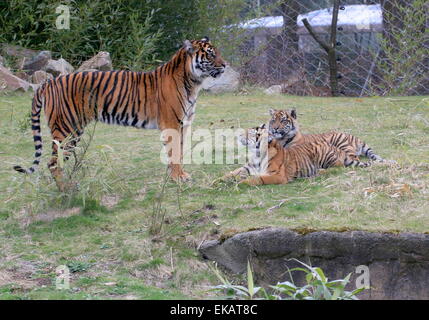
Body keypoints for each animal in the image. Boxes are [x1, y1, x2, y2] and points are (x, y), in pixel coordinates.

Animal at [14, 38, 224, 191]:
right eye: (210, 54)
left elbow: (179, 152)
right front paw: (177, 178)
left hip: (74, 130)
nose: (225, 65)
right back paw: (67, 189)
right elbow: (175, 153)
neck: (193, 82)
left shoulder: (184, 124)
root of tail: (49, 83)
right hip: (66, 128)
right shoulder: (172, 123)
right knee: (53, 163)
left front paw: (179, 174)